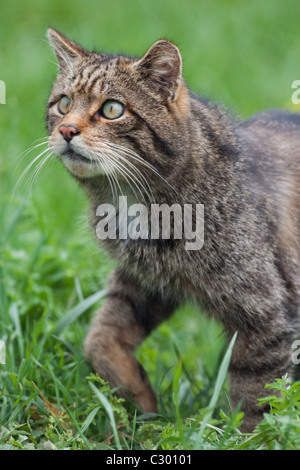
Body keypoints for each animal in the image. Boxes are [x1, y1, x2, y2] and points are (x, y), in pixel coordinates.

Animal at [45, 27, 300, 432]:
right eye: (64, 103)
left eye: (112, 109)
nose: (67, 129)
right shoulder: (143, 283)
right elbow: (100, 339)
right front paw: (141, 406)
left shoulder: (265, 315)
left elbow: (258, 398)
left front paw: (248, 437)